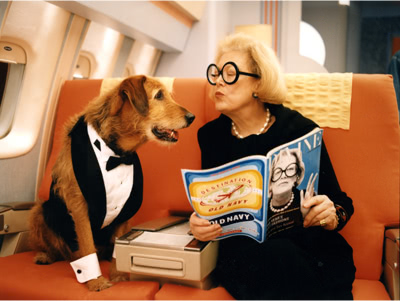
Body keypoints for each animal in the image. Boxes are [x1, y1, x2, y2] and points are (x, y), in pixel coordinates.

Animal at [28, 75, 195, 290]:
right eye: (158, 95)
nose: (192, 117)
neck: (116, 154)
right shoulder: (79, 206)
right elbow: (87, 245)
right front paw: (96, 282)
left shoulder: (127, 207)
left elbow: (119, 244)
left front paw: (119, 275)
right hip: (40, 211)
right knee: (59, 248)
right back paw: (45, 255)